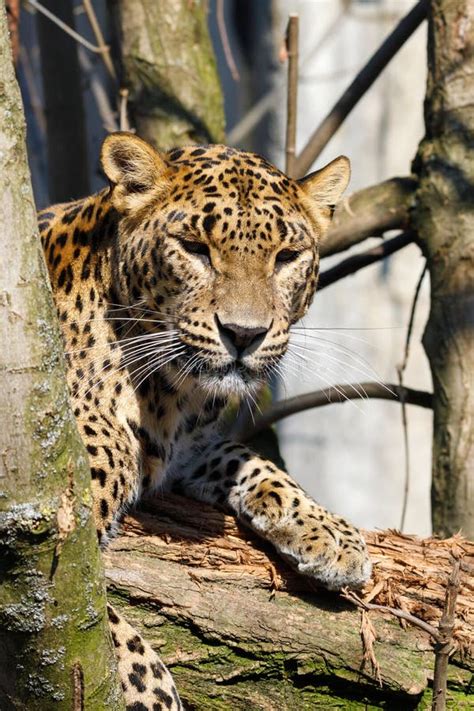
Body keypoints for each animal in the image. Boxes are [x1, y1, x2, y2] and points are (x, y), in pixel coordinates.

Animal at [39, 134, 372, 711]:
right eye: (194, 248)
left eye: (286, 257)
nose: (244, 334)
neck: (170, 395)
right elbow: (96, 614)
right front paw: (151, 689)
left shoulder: (189, 449)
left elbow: (255, 463)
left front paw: (331, 533)